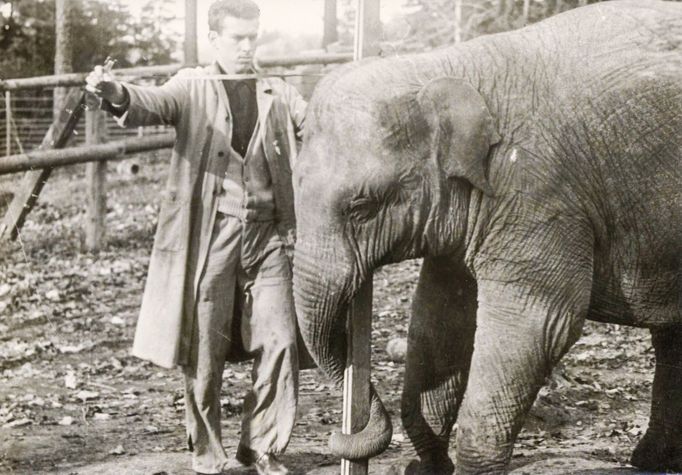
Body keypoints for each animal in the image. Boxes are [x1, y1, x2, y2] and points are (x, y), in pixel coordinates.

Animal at [290, 1, 680, 474]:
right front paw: (425, 467)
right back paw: (649, 461)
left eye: (362, 207)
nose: (345, 433)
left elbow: (538, 324)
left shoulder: (538, 192)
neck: (443, 67)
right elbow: (440, 319)